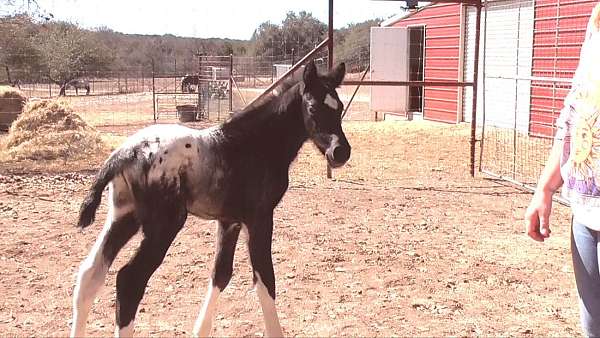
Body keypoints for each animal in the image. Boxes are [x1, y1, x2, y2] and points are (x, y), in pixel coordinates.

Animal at [70, 60, 352, 336]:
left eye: (339, 108)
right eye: (313, 108)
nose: (340, 152)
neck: (256, 143)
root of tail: (123, 153)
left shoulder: (229, 221)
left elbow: (221, 274)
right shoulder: (259, 218)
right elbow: (265, 279)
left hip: (124, 216)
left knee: (90, 274)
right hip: (164, 225)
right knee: (129, 281)